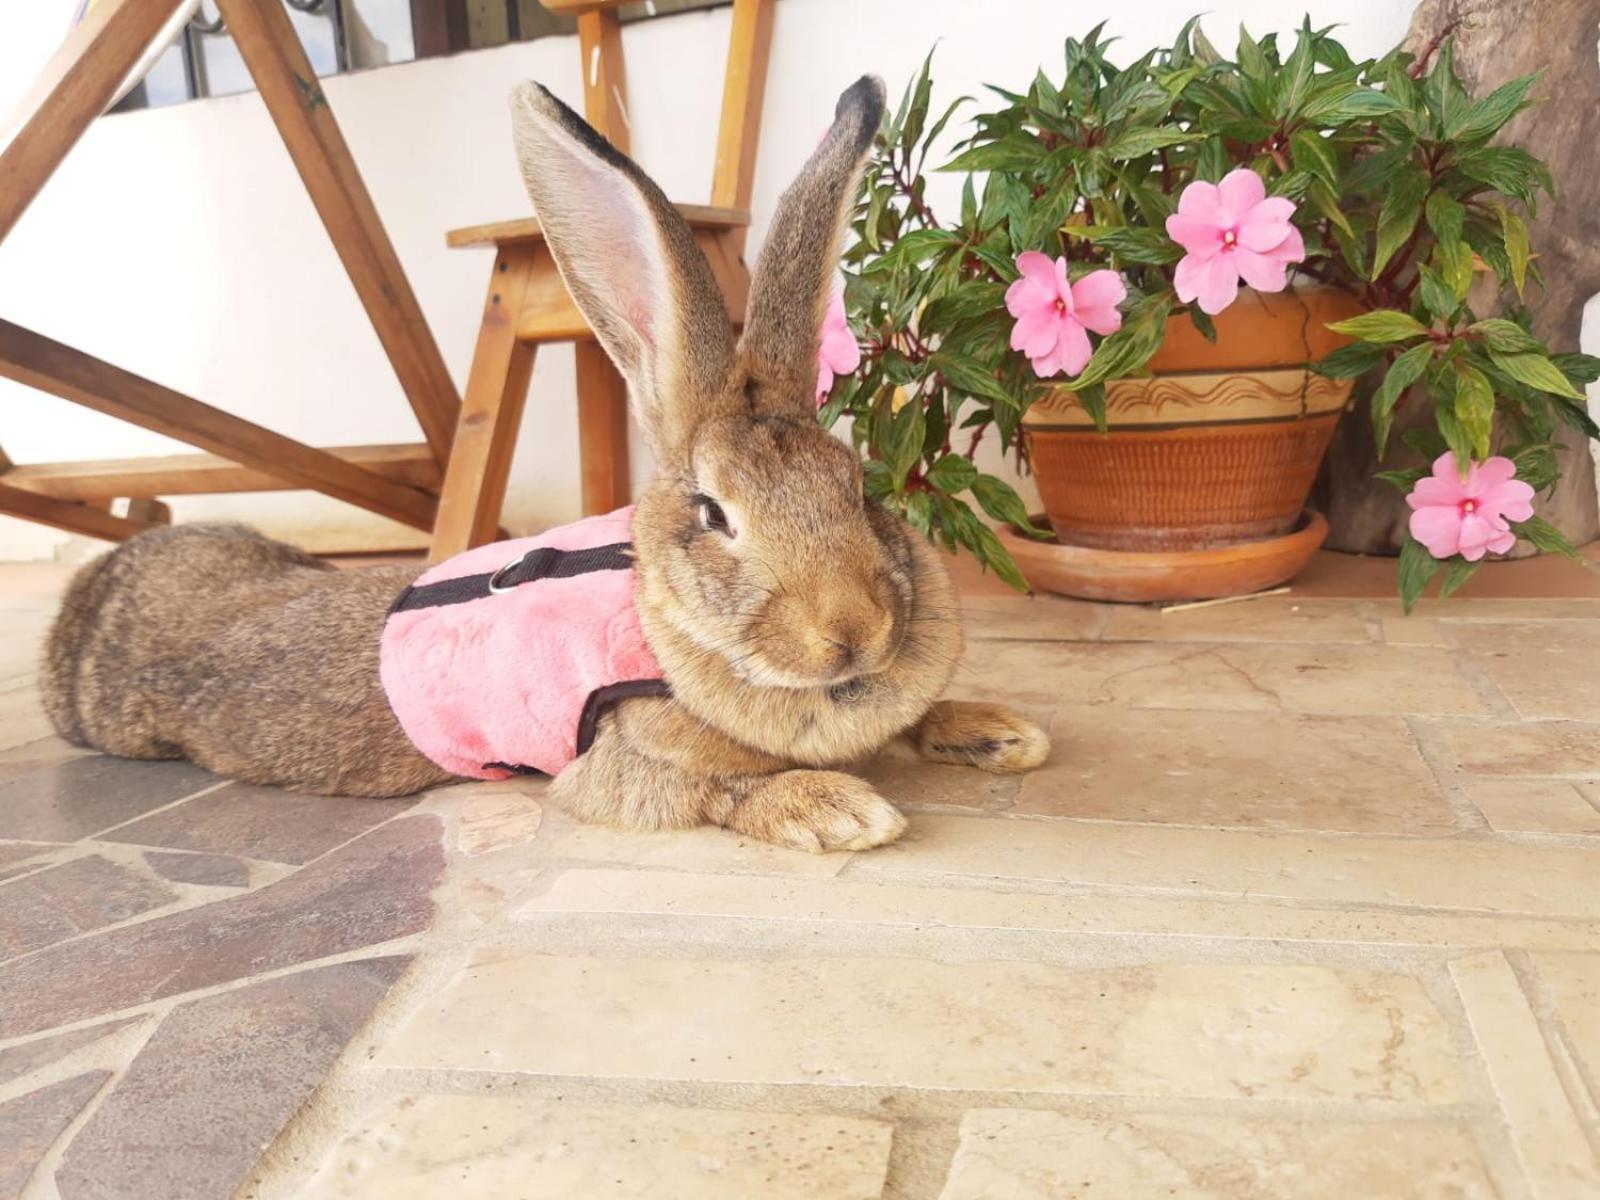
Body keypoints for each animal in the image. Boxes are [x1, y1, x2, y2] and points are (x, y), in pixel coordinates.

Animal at [40, 75, 1049, 851]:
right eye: (714, 514)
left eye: (856, 486)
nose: (854, 631)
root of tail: (96, 589)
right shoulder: (612, 765)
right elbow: (721, 793)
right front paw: (838, 810)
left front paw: (1002, 735)